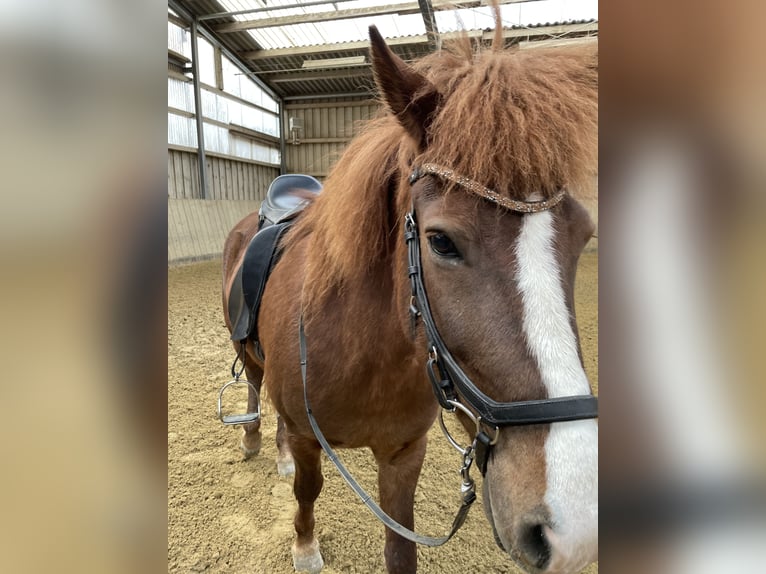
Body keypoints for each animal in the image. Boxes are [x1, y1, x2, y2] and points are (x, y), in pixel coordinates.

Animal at [222, 27, 600, 574]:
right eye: (440, 241)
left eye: (584, 234)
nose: (575, 527)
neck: (366, 352)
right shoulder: (308, 436)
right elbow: (308, 489)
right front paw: (305, 547)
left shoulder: (404, 454)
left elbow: (401, 550)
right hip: (249, 356)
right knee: (255, 389)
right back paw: (256, 442)